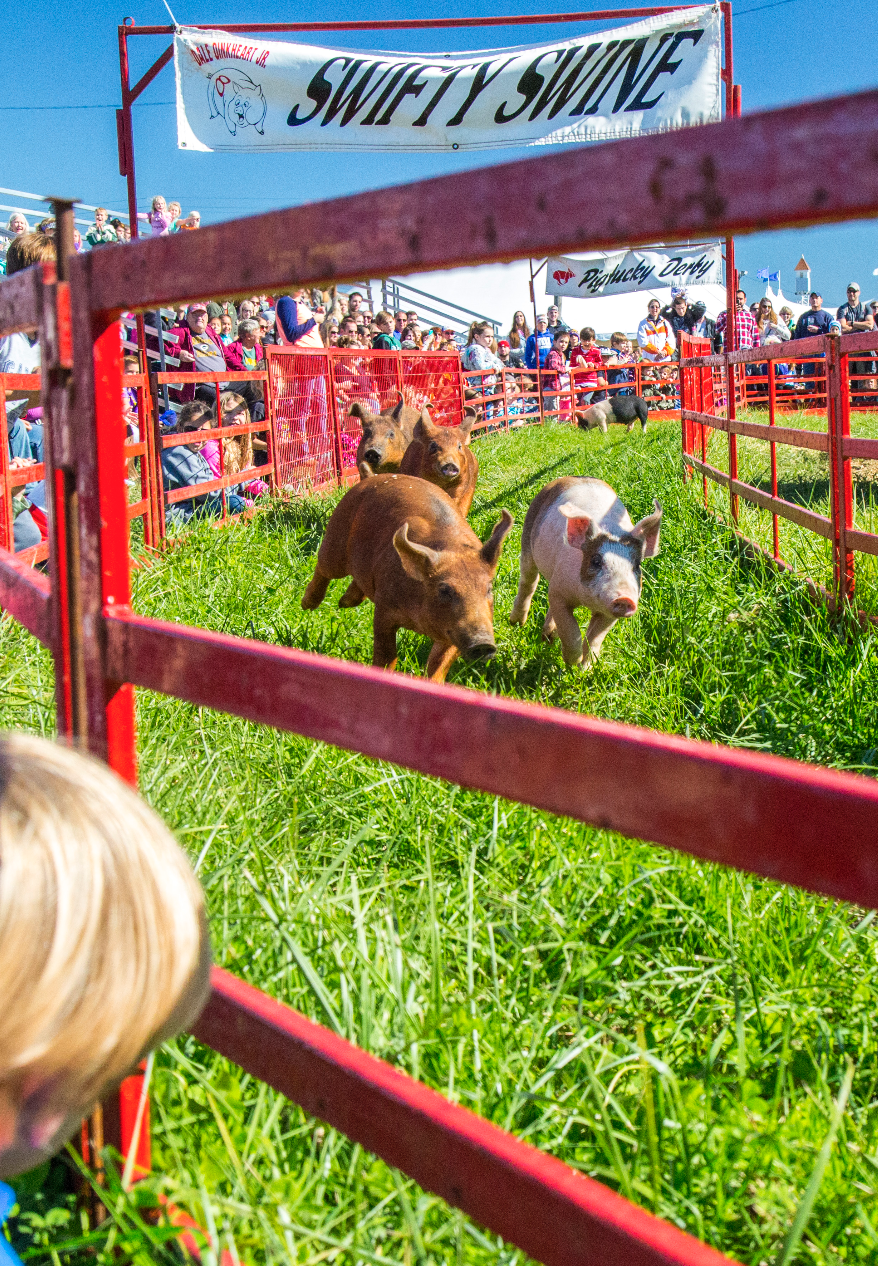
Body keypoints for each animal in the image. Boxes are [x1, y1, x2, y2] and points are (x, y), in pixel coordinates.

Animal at [301, 473, 513, 683]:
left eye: (488, 589)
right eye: (444, 590)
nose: (483, 643)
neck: (419, 623)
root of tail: (373, 477)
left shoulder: (455, 632)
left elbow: (438, 664)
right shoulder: (384, 610)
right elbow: (386, 654)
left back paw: (344, 602)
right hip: (336, 541)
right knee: (323, 567)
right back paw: (308, 605)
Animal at [513, 476, 662, 673]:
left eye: (637, 566)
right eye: (596, 561)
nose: (625, 598)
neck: (587, 601)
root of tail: (570, 477)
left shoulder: (607, 613)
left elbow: (594, 639)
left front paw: (585, 670)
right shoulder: (559, 591)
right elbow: (571, 631)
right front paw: (572, 663)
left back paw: (548, 637)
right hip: (528, 536)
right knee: (528, 581)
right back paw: (516, 623)